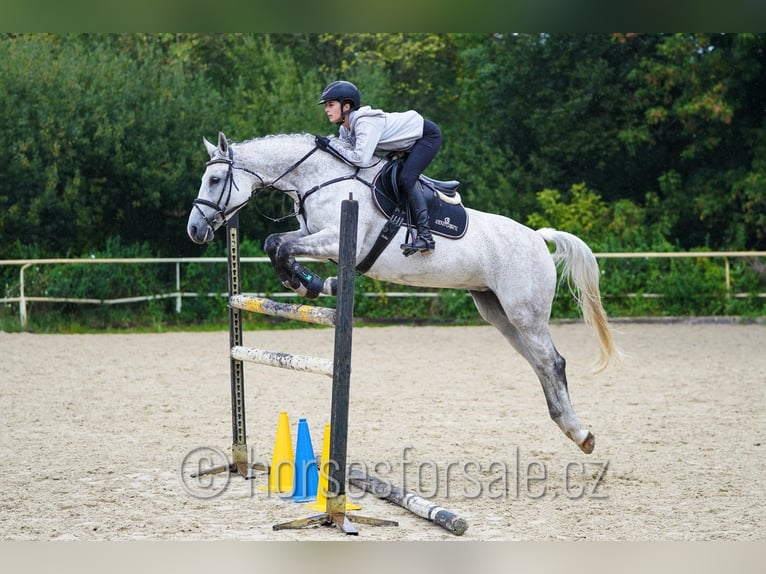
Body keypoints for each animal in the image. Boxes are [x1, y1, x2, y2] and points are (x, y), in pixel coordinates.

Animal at [187, 131, 621, 454]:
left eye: (214, 180)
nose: (194, 230)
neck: (318, 177)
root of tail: (537, 238)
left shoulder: (335, 239)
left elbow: (280, 244)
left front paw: (306, 282)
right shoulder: (313, 235)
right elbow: (276, 242)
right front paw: (309, 282)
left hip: (524, 313)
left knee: (553, 362)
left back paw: (581, 435)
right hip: (497, 313)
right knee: (537, 363)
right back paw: (568, 427)